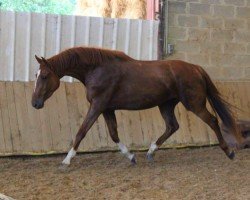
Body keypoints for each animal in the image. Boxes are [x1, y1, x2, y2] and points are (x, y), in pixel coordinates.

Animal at [31, 47, 240, 166]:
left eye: (44, 76)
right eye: (36, 75)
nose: (35, 103)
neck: (96, 69)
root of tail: (196, 68)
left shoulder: (97, 105)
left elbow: (81, 131)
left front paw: (67, 160)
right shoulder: (107, 109)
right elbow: (114, 134)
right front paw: (131, 157)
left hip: (194, 104)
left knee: (212, 120)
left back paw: (229, 151)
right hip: (166, 105)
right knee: (172, 126)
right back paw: (150, 152)